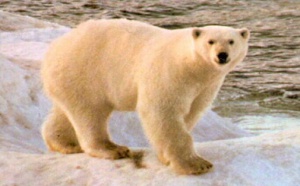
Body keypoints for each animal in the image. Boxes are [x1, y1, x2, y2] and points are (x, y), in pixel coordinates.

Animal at [41, 19, 250, 175]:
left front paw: (168, 156)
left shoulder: (206, 86)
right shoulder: (169, 74)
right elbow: (163, 113)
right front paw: (195, 164)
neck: (193, 67)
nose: (222, 55)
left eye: (231, 41)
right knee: (90, 113)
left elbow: (192, 112)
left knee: (67, 111)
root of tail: (55, 47)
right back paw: (113, 148)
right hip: (85, 72)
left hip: (69, 79)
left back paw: (65, 144)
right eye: (211, 41)